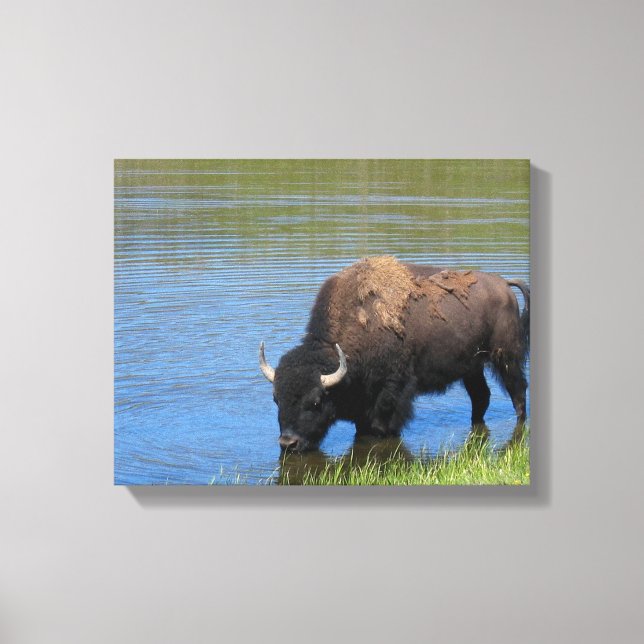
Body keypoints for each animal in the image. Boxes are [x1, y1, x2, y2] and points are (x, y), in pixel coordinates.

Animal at [259, 256, 529, 453]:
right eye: (276, 399)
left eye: (316, 401)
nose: (288, 443)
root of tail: (504, 284)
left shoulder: (392, 390)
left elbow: (382, 425)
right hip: (472, 368)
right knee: (481, 397)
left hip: (506, 358)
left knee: (517, 391)